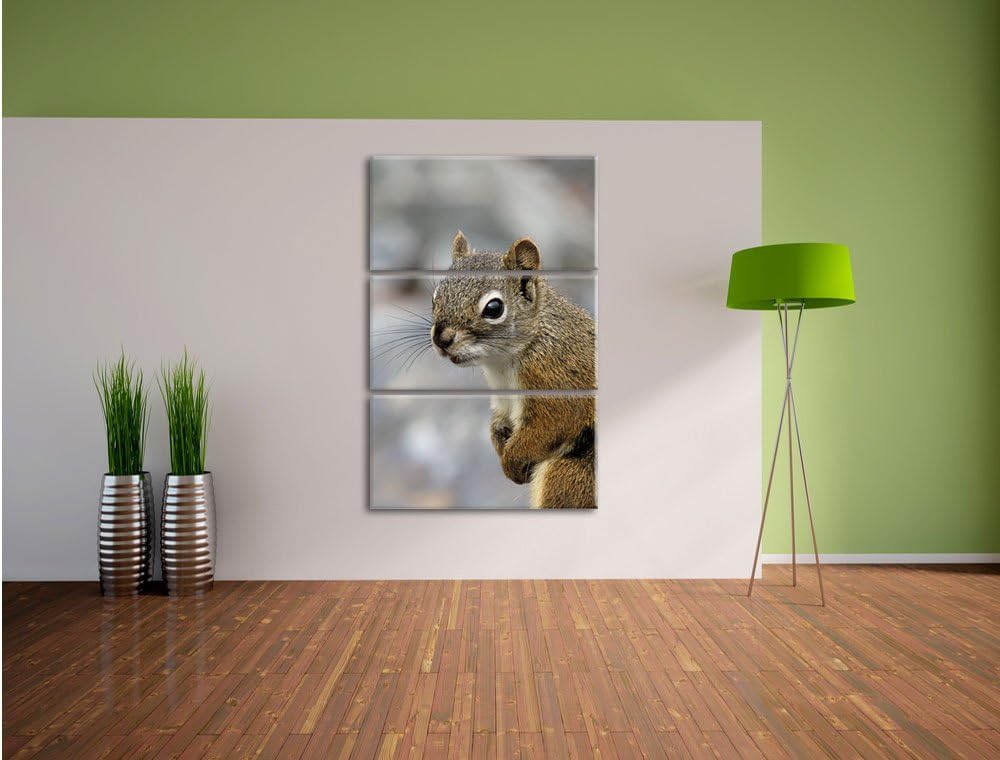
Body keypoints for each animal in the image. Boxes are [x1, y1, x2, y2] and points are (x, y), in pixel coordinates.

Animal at [431, 231, 596, 509]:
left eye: (494, 308)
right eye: (434, 297)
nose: (441, 339)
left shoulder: (556, 377)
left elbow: (550, 426)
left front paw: (512, 463)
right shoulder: (503, 398)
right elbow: (498, 424)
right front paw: (499, 440)